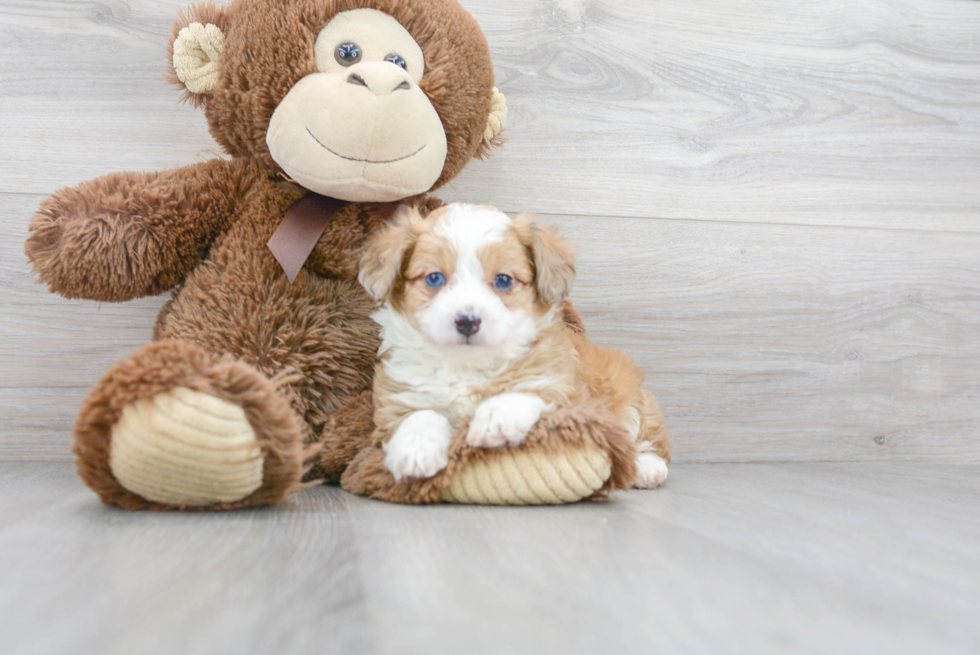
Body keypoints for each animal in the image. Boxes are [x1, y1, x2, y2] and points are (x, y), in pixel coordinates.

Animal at [360, 202, 672, 490]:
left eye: (503, 280)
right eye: (434, 278)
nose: (467, 321)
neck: (468, 366)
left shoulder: (563, 389)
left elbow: (526, 389)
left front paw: (494, 419)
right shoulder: (399, 393)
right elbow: (418, 413)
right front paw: (414, 449)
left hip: (636, 401)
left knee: (649, 441)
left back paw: (646, 467)